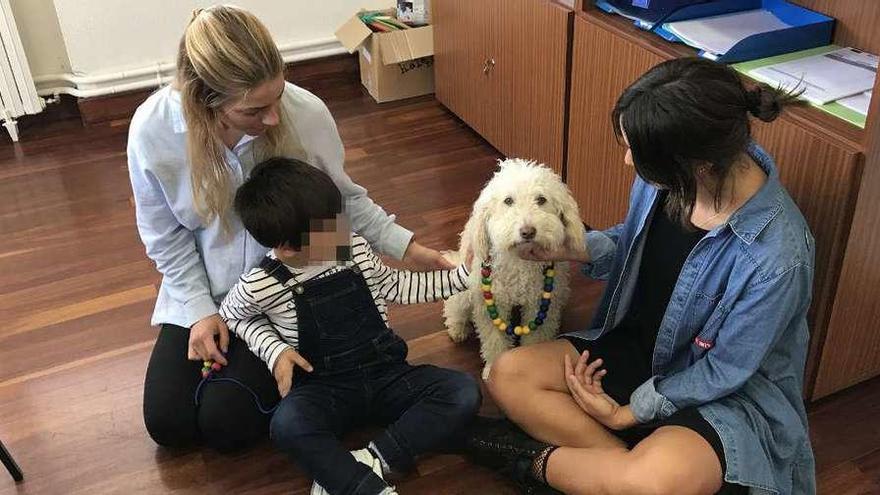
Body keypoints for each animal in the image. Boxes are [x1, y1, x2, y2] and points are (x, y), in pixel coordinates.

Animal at [446, 159, 584, 380]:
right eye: (508, 201)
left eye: (541, 199)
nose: (528, 231)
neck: (520, 263)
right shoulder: (493, 305)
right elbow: (494, 340)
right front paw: (492, 368)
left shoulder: (539, 304)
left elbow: (536, 337)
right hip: (467, 291)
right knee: (453, 305)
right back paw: (457, 328)